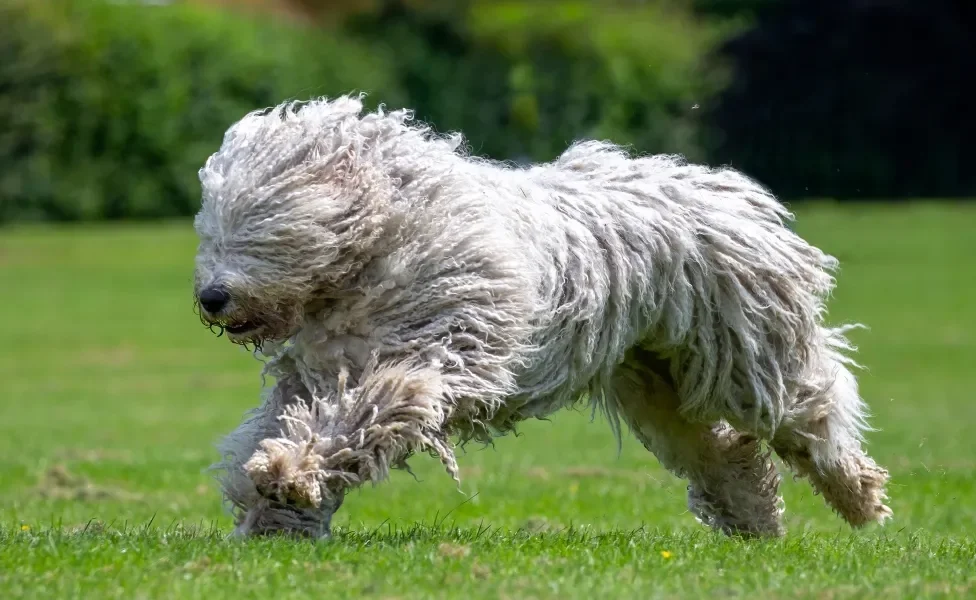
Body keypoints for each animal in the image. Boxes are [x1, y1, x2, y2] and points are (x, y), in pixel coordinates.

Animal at [193, 95, 892, 540]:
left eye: (263, 227)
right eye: (212, 227)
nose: (211, 298)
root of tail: (731, 194)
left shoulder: (437, 352)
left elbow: (366, 411)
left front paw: (290, 472)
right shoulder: (315, 370)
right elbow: (285, 421)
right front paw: (274, 512)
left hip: (745, 356)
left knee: (810, 412)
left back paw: (858, 495)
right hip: (654, 378)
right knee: (721, 451)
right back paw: (756, 518)